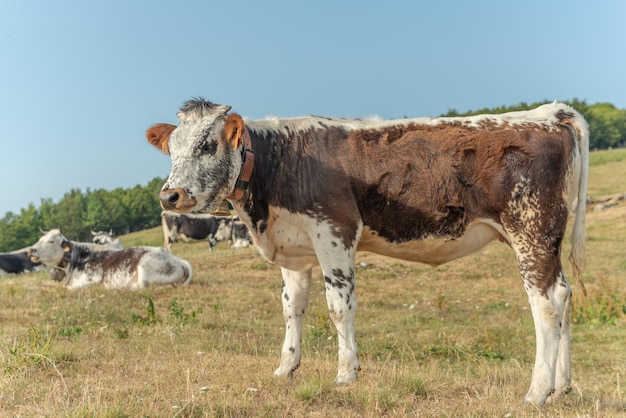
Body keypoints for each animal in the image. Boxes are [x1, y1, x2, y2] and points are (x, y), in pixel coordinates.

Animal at [145, 98, 584, 404]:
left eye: (208, 145)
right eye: (172, 149)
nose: (170, 195)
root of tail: (549, 113)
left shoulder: (335, 230)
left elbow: (339, 307)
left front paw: (346, 374)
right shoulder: (296, 248)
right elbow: (293, 307)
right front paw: (285, 367)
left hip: (529, 229)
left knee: (545, 306)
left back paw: (537, 392)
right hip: (546, 239)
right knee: (563, 296)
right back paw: (562, 386)